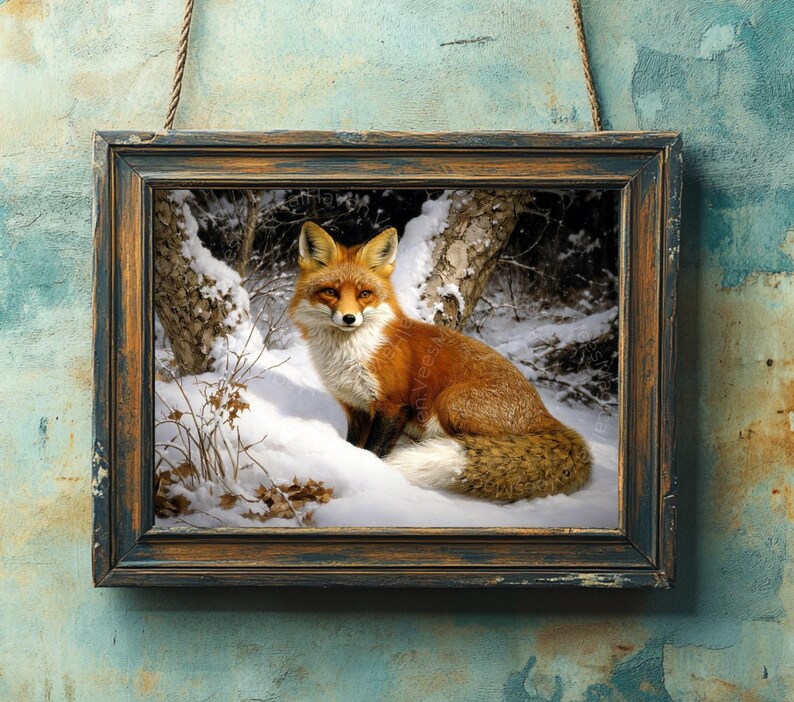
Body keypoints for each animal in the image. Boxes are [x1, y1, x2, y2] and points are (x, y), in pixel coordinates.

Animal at [288, 221, 592, 502]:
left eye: (364, 294)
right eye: (330, 292)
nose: (349, 318)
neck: (350, 355)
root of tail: (544, 413)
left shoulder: (393, 405)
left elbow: (373, 451)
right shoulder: (355, 407)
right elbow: (354, 445)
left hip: (452, 403)